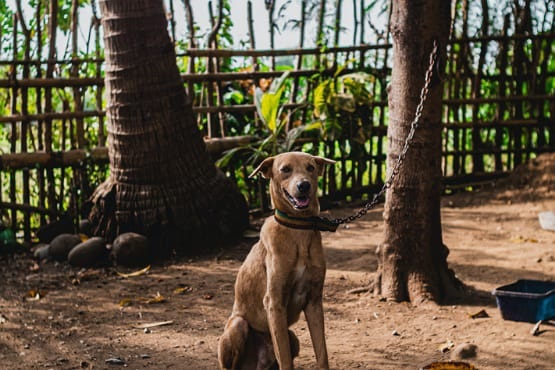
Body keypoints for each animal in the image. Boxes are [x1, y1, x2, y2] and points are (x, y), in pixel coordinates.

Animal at [219, 151, 334, 370]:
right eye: (285, 169)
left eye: (311, 168)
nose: (304, 185)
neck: (298, 231)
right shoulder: (275, 302)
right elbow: (286, 360)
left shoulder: (314, 301)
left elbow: (322, 352)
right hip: (238, 325)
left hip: (293, 337)